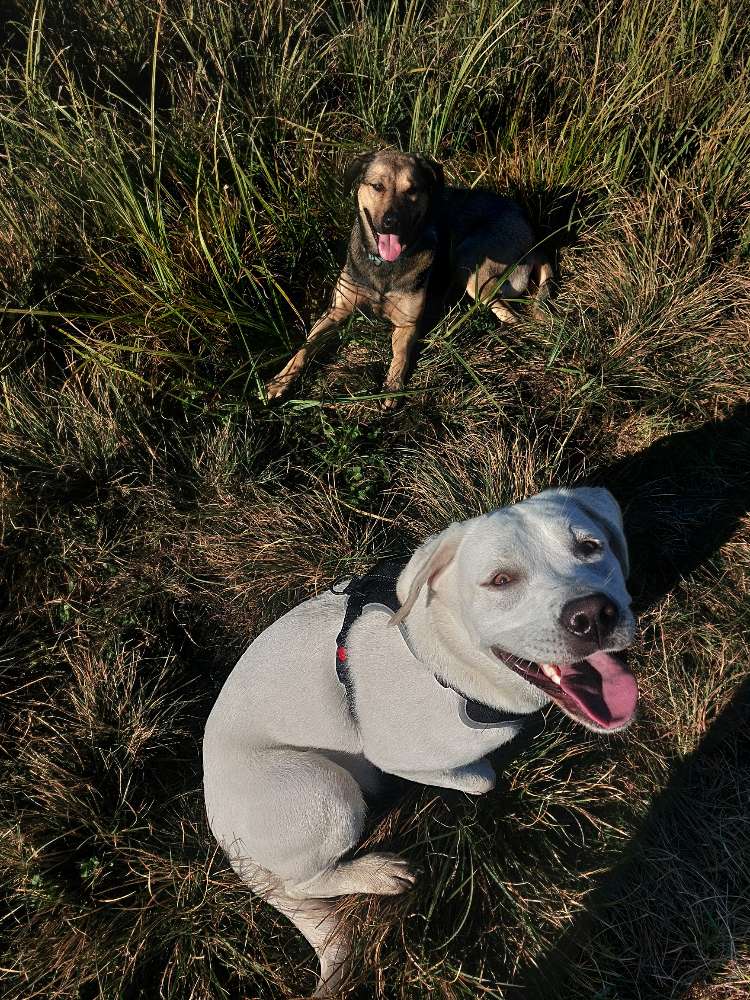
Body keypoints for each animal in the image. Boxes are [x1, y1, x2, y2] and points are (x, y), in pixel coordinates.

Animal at [202, 487, 638, 996]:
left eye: (590, 547)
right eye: (500, 580)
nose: (592, 615)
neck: (443, 657)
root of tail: (224, 835)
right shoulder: (392, 755)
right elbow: (480, 779)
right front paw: (483, 766)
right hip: (322, 788)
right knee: (301, 883)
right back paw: (376, 872)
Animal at [266, 149, 553, 409]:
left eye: (412, 189)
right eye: (377, 186)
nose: (391, 222)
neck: (385, 265)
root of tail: (533, 233)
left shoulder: (407, 323)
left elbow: (400, 354)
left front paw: (392, 387)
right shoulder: (336, 311)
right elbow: (306, 346)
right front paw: (281, 380)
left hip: (469, 263)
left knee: (512, 317)